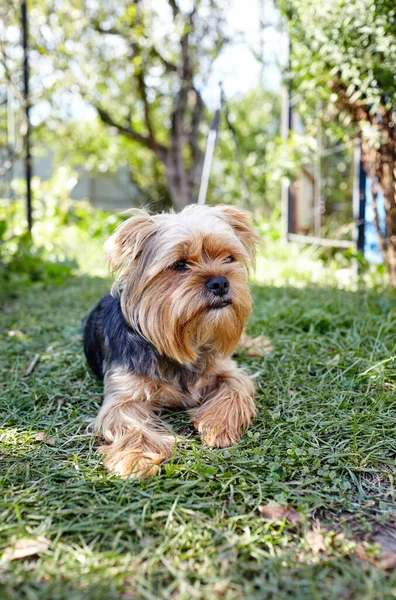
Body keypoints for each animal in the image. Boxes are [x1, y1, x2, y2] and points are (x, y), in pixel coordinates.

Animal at [83, 206, 256, 478]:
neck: (180, 341)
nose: (221, 282)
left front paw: (218, 426)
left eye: (229, 258)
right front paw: (138, 458)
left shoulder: (226, 368)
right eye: (180, 264)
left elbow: (234, 388)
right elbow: (129, 423)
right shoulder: (123, 396)